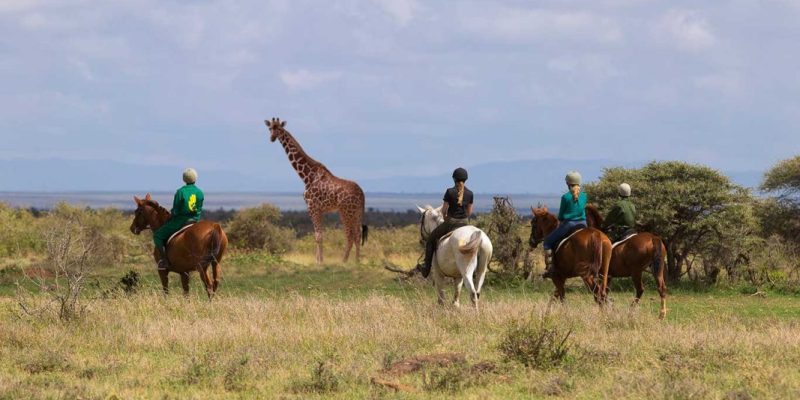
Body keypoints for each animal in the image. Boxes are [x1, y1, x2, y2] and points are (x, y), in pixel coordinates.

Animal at [264, 117, 368, 264]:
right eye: (269, 128)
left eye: (279, 129)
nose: (272, 138)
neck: (307, 176)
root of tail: (362, 193)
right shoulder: (320, 209)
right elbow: (319, 235)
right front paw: (318, 260)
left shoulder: (312, 207)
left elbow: (318, 235)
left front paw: (319, 261)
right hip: (356, 212)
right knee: (357, 234)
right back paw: (356, 261)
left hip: (346, 211)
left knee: (350, 235)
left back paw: (344, 261)